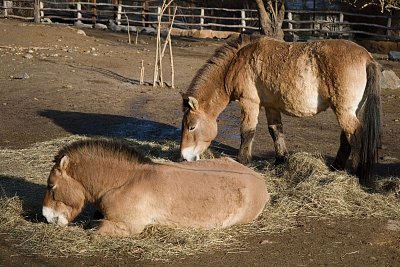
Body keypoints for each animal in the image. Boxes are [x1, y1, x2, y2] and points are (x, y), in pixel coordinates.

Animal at [43, 139, 268, 238]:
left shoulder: (129, 227)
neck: (124, 182)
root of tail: (261, 183)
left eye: (51, 185)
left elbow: (92, 227)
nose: (46, 217)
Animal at [180, 35, 382, 186]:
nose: (184, 157)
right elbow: (276, 131)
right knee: (346, 138)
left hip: (344, 111)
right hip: (348, 111)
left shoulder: (249, 103)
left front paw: (242, 162)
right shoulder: (271, 106)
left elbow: (247, 132)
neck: (237, 62)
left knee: (355, 135)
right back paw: (336, 168)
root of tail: (367, 57)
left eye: (191, 127)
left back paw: (357, 174)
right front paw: (280, 160)